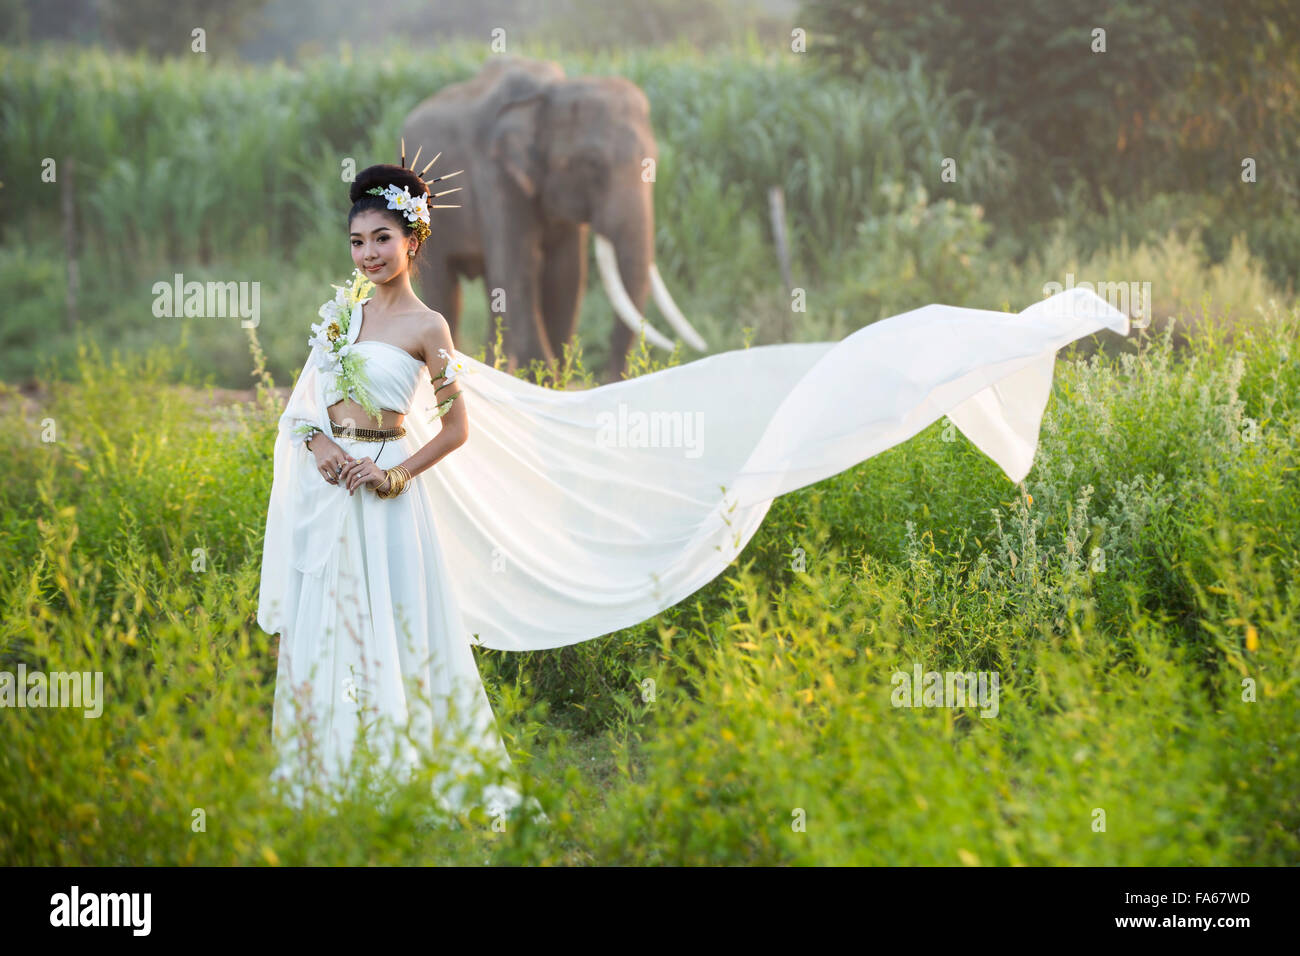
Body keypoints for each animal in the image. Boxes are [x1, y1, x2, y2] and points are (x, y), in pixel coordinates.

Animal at [397, 55, 712, 382]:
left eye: (654, 161)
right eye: (592, 164)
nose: (614, 377)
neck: (551, 94)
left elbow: (565, 275)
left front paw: (550, 381)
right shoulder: (496, 175)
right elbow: (516, 271)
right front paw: (544, 380)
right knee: (446, 288)